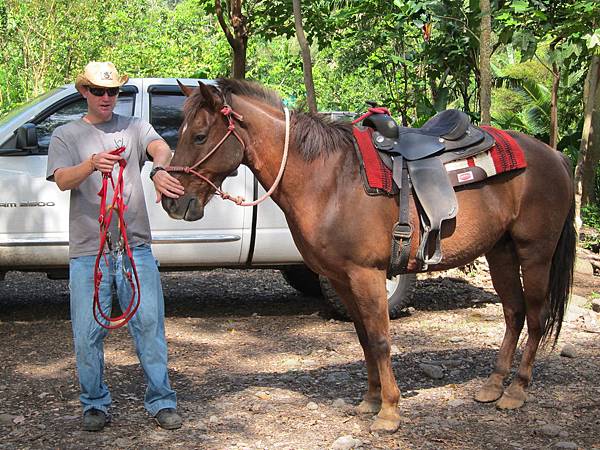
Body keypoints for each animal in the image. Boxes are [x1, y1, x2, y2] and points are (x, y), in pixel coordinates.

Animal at [162, 79, 576, 434]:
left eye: (199, 136)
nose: (172, 202)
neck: (328, 181)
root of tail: (553, 155)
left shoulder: (368, 274)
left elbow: (379, 340)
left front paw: (389, 411)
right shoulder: (342, 278)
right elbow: (363, 339)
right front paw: (369, 401)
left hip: (534, 252)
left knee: (536, 316)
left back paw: (516, 390)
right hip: (500, 251)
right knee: (513, 313)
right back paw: (492, 385)